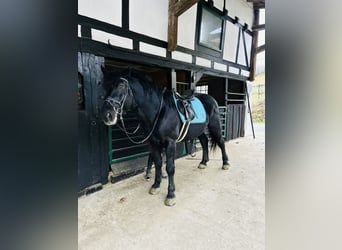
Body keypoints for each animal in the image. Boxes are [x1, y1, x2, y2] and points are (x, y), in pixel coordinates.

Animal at [101, 69, 230, 206]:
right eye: (108, 88)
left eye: (121, 86)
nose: (107, 114)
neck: (161, 110)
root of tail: (211, 99)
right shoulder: (154, 143)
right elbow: (158, 164)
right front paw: (156, 186)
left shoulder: (170, 143)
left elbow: (170, 168)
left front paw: (171, 194)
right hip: (199, 130)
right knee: (205, 141)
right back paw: (203, 162)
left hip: (215, 125)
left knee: (221, 142)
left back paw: (225, 163)